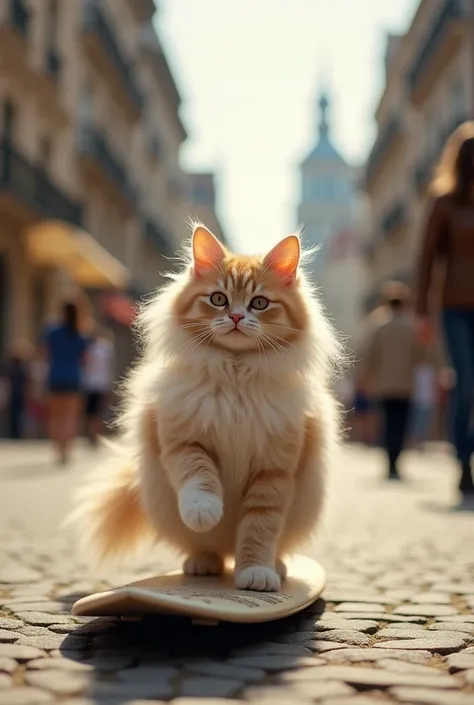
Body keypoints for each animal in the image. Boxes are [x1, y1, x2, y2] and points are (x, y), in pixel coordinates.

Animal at [68, 224, 342, 588]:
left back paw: (275, 568)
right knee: (206, 548)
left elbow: (259, 529)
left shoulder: (274, 470)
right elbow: (200, 480)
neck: (235, 376)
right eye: (218, 299)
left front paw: (255, 573)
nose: (237, 316)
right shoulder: (185, 442)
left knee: (272, 546)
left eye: (259, 303)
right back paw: (202, 563)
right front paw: (204, 511)